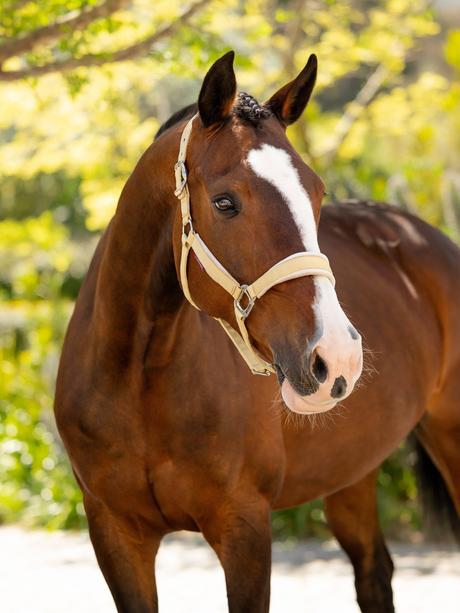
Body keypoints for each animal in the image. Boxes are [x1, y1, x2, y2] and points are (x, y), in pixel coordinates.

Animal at [55, 50, 460, 608]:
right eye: (225, 202)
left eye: (317, 193)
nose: (338, 356)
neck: (137, 380)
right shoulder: (115, 533)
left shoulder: (244, 527)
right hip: (352, 473)